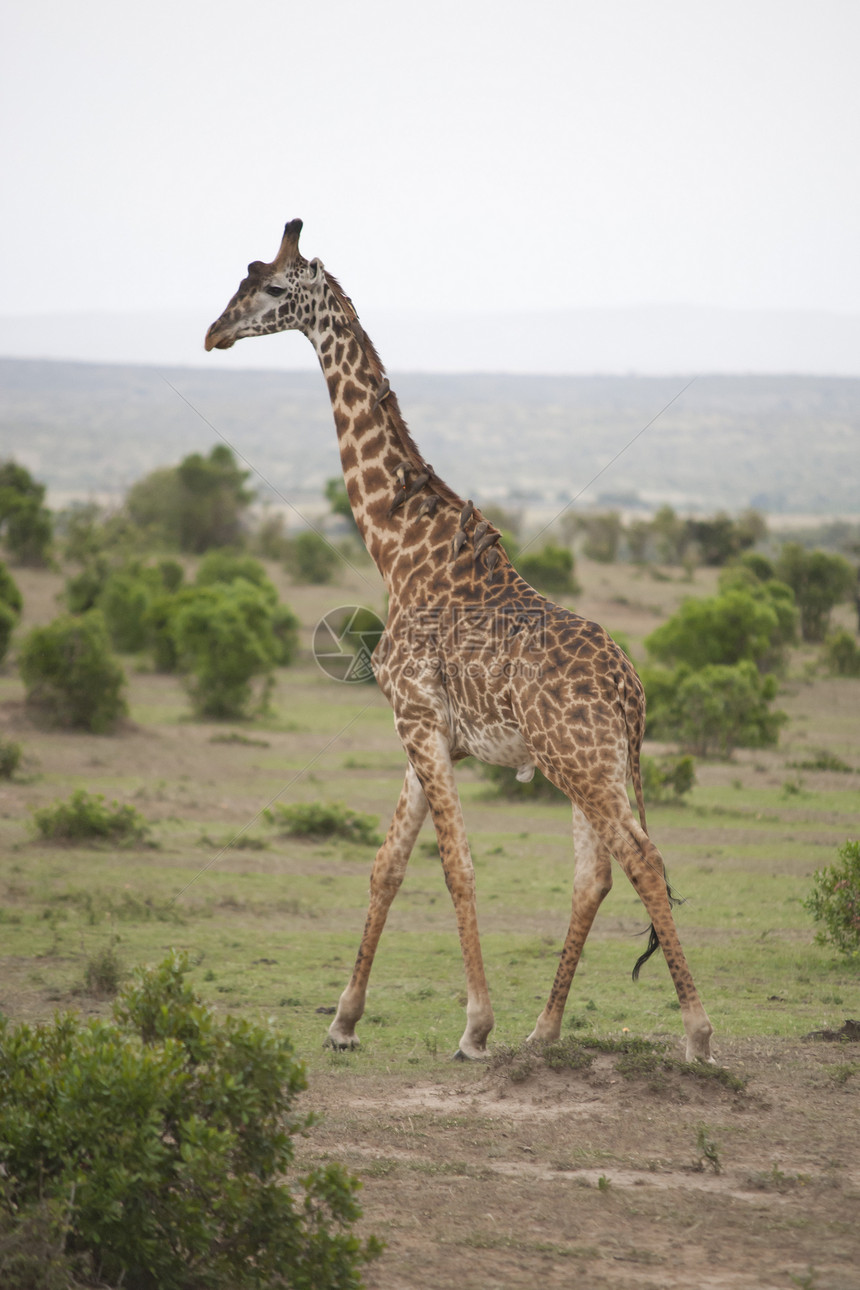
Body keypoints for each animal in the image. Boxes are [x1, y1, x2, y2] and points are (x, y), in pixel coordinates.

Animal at [203, 221, 711, 1062]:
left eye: (272, 288)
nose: (214, 332)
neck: (398, 549)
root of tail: (633, 692)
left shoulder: (415, 718)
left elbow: (456, 866)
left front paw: (474, 1027)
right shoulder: (427, 731)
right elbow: (387, 865)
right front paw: (343, 1021)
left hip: (580, 762)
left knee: (641, 856)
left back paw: (696, 1033)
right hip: (592, 762)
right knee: (597, 873)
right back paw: (545, 1030)